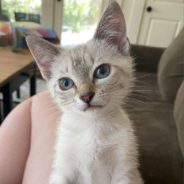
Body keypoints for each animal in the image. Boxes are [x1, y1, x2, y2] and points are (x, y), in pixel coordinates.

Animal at [26, 1, 144, 184]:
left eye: (102, 71)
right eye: (65, 83)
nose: (86, 96)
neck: (92, 128)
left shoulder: (125, 172)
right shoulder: (62, 170)